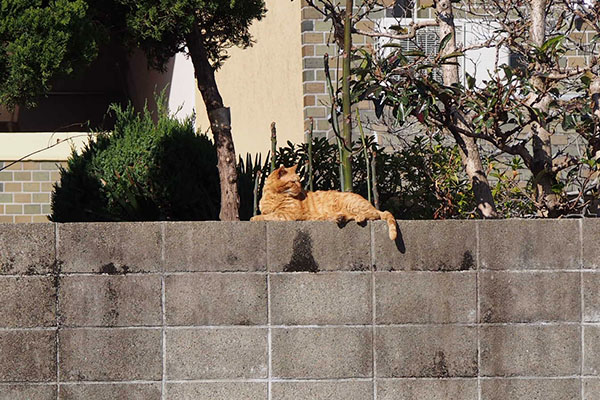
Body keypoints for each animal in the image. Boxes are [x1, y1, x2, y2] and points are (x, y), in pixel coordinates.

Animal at [250, 163, 398, 239]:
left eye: (299, 181)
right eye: (293, 182)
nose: (301, 188)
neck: (273, 196)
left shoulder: (287, 214)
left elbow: (267, 215)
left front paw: (254, 218)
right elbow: (266, 214)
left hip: (353, 204)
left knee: (374, 214)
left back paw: (359, 217)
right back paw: (339, 217)